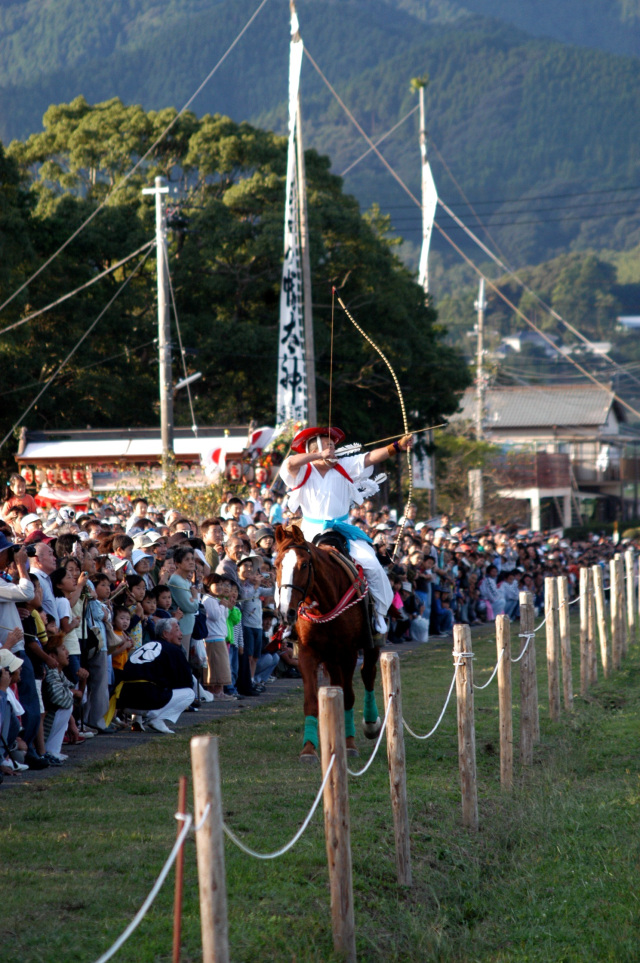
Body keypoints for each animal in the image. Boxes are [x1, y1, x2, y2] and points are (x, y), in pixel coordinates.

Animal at [274, 528, 382, 760]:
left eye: (304, 565)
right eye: (277, 564)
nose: (286, 612)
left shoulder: (349, 653)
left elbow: (348, 697)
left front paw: (349, 744)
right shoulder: (307, 654)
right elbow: (311, 702)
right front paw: (308, 749)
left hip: (369, 644)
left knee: (368, 672)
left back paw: (371, 724)